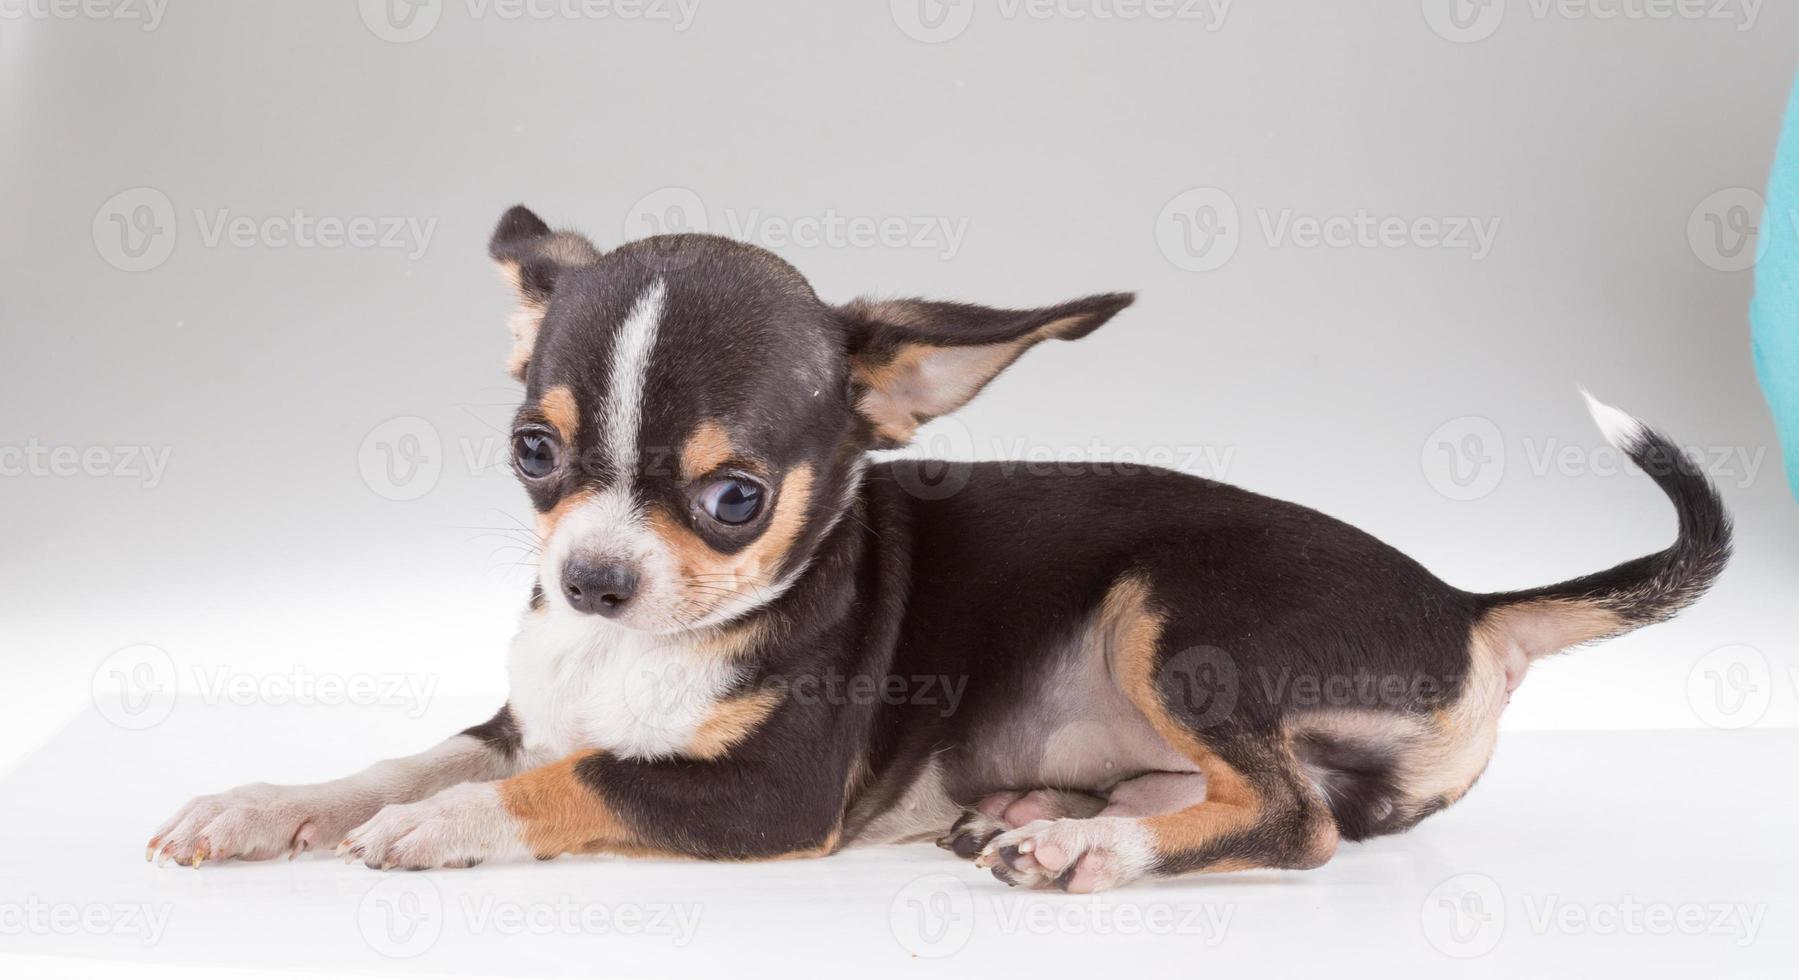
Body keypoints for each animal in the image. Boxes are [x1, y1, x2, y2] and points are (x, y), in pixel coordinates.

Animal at [151, 204, 1727, 884]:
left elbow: (565, 780)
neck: (637, 652)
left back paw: (1091, 848)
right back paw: (1036, 809)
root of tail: (1468, 603)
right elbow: (404, 754)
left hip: (1169, 611)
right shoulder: (519, 711)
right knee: (1289, 796)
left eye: (735, 498)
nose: (590, 578)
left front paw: (448, 826)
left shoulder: (767, 796)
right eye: (533, 454)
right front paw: (265, 802)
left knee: (1296, 821)